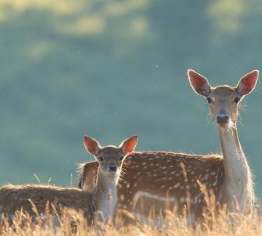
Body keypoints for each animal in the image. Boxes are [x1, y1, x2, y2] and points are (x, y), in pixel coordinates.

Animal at [77, 69, 258, 223]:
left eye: (236, 98)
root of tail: (87, 168)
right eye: (209, 99)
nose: (222, 117)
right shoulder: (201, 216)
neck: (233, 193)